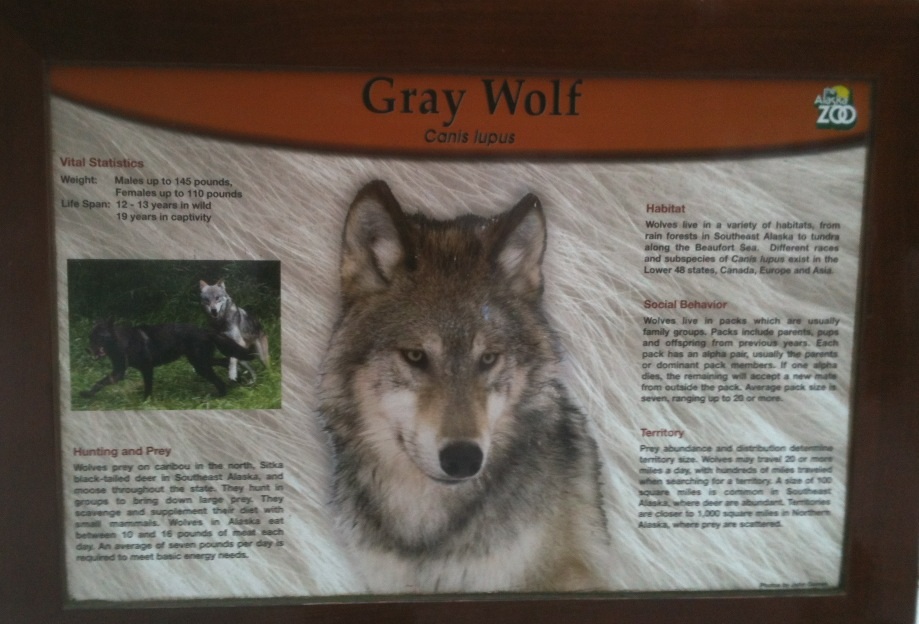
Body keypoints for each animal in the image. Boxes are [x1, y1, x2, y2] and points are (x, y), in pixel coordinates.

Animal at [80, 319, 255, 399]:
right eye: (90, 337)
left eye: (99, 337)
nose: (87, 349)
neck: (122, 344)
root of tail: (205, 330)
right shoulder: (119, 371)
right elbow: (100, 382)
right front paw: (87, 394)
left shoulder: (146, 368)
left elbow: (148, 387)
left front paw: (145, 402)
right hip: (200, 361)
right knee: (225, 362)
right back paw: (237, 380)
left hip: (200, 364)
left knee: (219, 379)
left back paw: (219, 396)